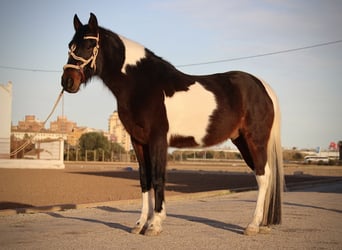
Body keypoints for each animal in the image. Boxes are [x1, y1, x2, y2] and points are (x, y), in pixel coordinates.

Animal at [60, 13, 284, 236]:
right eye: (70, 46)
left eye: (89, 45)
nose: (67, 81)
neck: (142, 84)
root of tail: (262, 86)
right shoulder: (138, 141)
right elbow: (145, 180)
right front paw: (141, 224)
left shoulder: (158, 140)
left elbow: (158, 178)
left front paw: (155, 224)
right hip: (241, 141)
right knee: (263, 175)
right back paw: (263, 223)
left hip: (255, 140)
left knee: (263, 176)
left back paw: (253, 225)